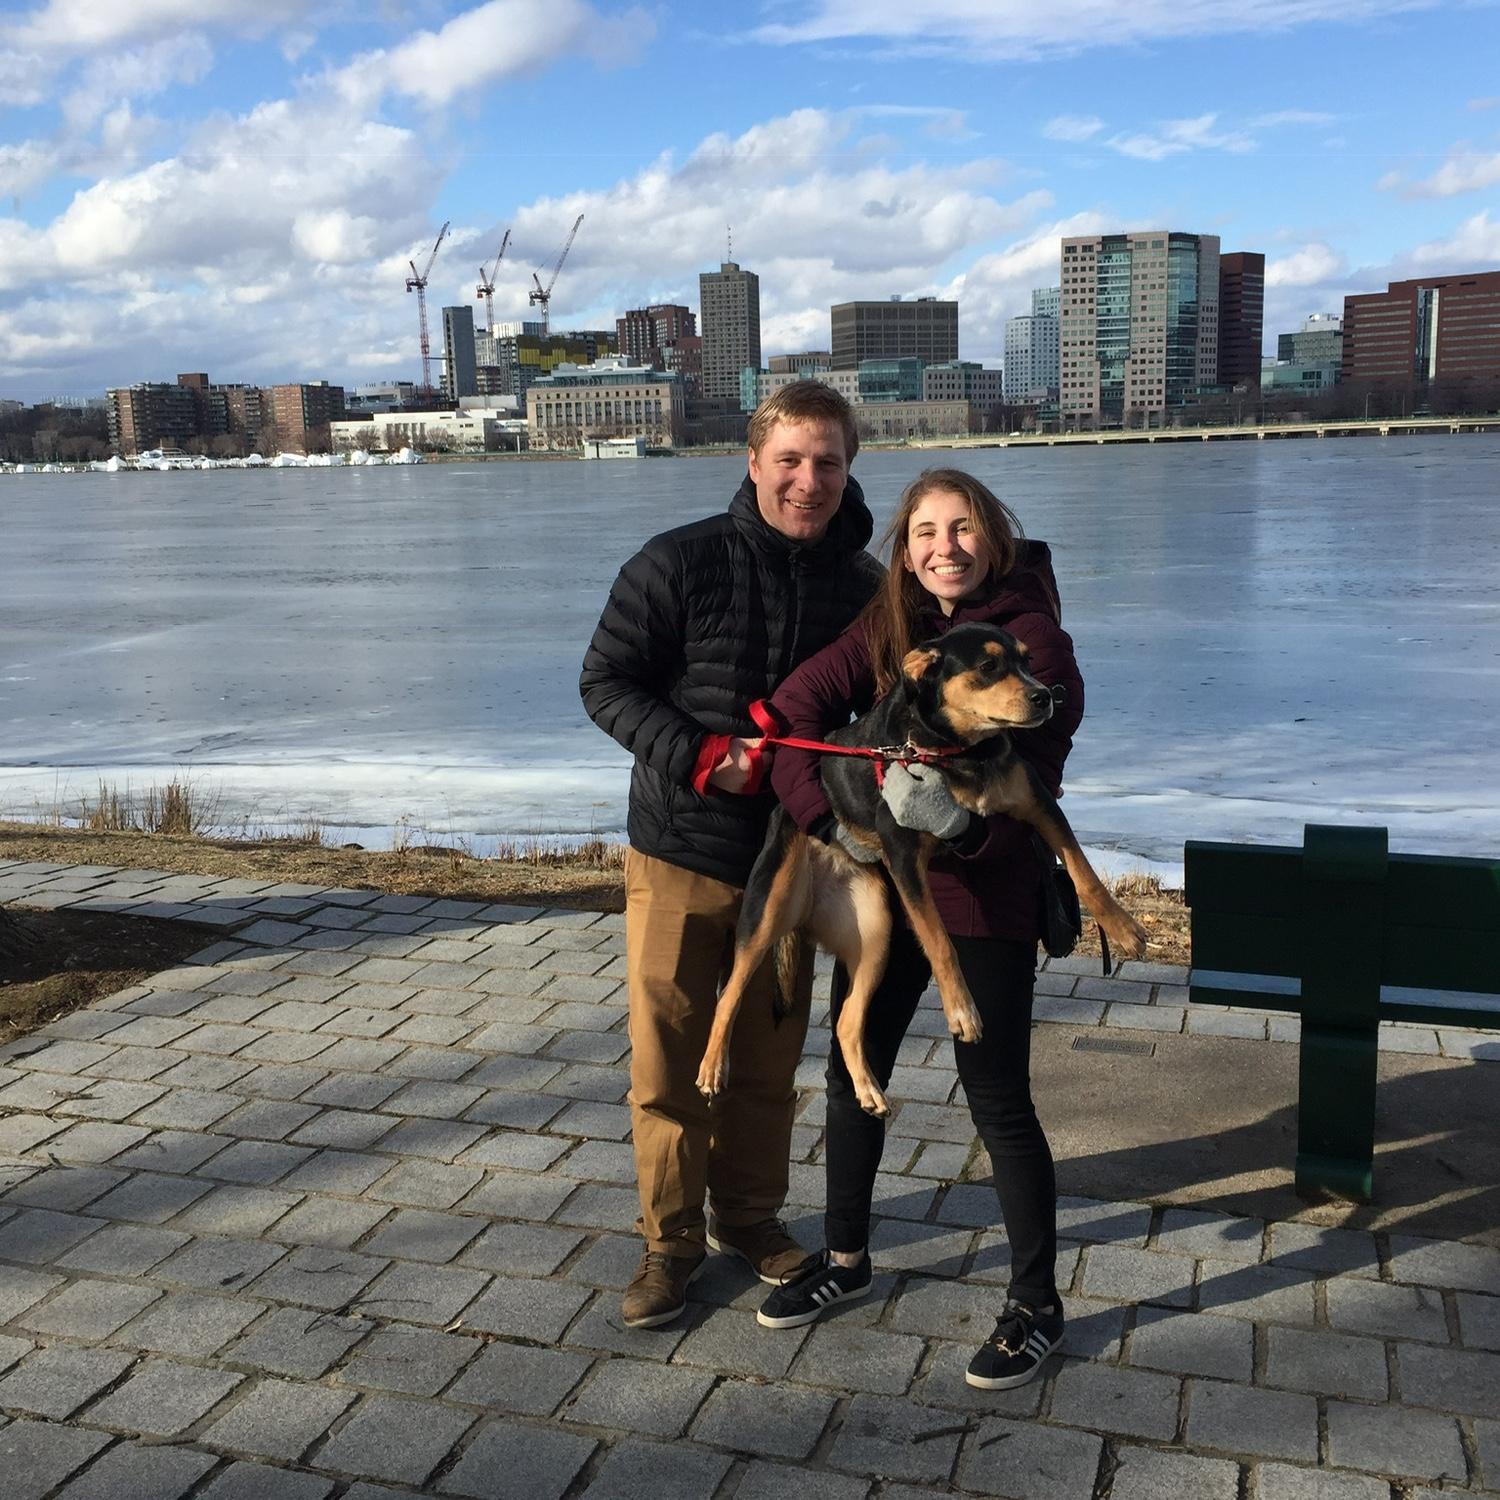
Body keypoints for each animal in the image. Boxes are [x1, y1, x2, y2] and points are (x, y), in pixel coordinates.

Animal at [690, 615, 1146, 1122]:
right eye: (988, 666)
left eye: (1028, 661)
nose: (1045, 695)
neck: (957, 751)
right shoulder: (904, 854)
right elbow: (940, 940)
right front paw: (962, 1012)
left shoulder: (1039, 803)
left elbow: (1086, 873)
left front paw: (1124, 929)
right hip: (767, 910)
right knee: (728, 996)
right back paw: (711, 1070)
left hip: (875, 929)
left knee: (846, 1022)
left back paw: (868, 1091)